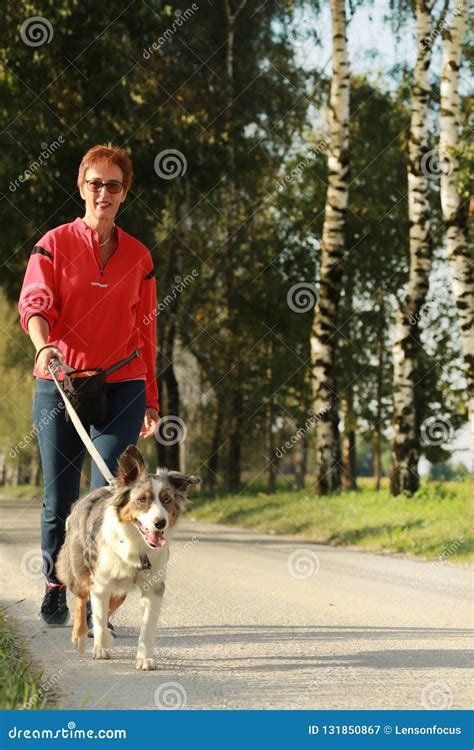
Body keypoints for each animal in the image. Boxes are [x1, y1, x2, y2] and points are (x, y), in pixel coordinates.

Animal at [56, 444, 200, 672]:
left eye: (167, 500)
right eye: (143, 499)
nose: (160, 523)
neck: (137, 544)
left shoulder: (154, 587)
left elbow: (147, 627)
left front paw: (144, 658)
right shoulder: (100, 583)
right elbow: (97, 615)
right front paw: (100, 647)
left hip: (120, 589)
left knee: (109, 604)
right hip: (80, 568)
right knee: (81, 598)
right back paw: (80, 637)